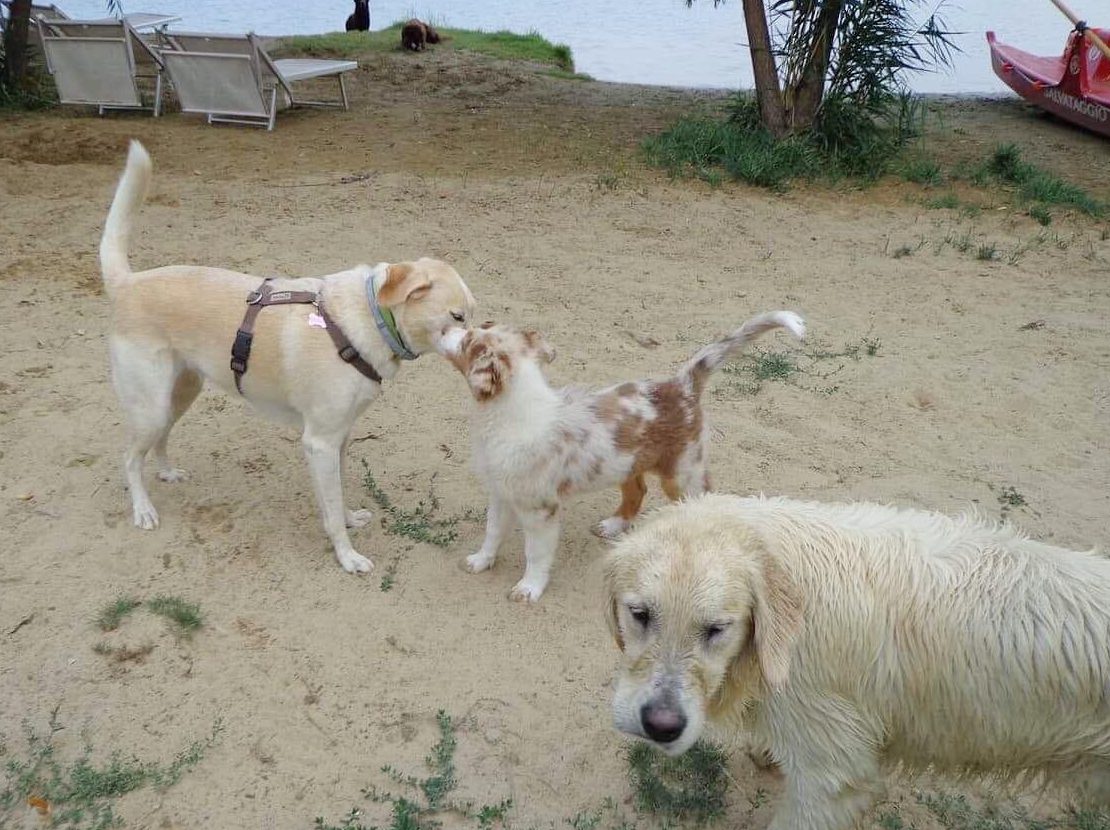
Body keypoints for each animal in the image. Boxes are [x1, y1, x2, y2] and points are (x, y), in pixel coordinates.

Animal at [104, 140, 481, 572]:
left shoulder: (340, 437)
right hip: (150, 405)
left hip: (180, 394)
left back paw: (167, 473)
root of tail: (127, 283)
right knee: (130, 457)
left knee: (160, 440)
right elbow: (331, 508)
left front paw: (350, 520)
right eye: (457, 316)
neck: (367, 318)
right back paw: (143, 509)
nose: (479, 347)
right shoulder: (320, 442)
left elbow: (338, 495)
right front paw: (347, 556)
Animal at [435, 310, 808, 603]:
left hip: (683, 473)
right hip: (628, 464)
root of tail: (681, 385)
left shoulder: (541, 509)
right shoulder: (501, 492)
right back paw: (614, 525)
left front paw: (529, 589)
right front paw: (480, 561)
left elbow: (536, 553)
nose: (443, 328)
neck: (508, 414)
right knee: (637, 491)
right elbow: (492, 532)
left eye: (467, 341)